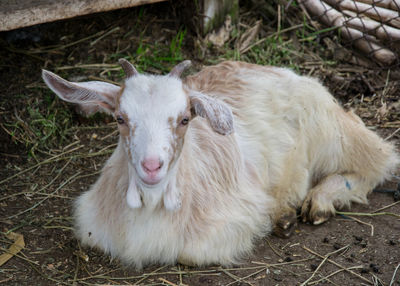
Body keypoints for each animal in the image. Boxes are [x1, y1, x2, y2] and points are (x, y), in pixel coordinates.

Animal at [41, 59, 400, 268]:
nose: (152, 166)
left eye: (185, 119)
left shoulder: (232, 219)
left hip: (332, 132)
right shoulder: (92, 227)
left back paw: (321, 200)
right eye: (120, 118)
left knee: (380, 159)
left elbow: (188, 254)